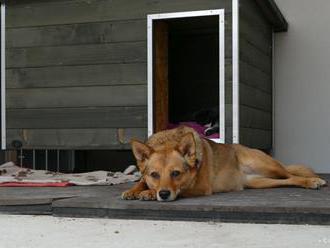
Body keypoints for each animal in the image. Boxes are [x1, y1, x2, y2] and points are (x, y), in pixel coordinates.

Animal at [122, 126, 328, 202]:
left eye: (176, 173)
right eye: (154, 174)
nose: (163, 194)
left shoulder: (202, 187)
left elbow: (181, 189)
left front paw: (148, 193)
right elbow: (141, 181)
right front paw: (134, 190)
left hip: (268, 165)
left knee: (291, 174)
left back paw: (314, 180)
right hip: (259, 182)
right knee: (287, 180)